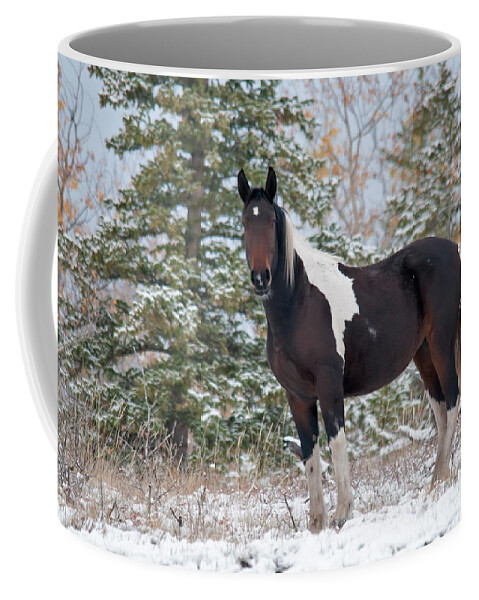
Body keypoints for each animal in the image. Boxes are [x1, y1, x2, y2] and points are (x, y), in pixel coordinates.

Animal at [239, 166, 462, 532]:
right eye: (245, 222)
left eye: (271, 221)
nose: (261, 278)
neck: (300, 302)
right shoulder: (297, 396)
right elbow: (309, 453)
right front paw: (316, 522)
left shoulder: (329, 385)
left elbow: (337, 441)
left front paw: (343, 512)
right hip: (425, 354)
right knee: (441, 410)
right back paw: (438, 480)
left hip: (443, 344)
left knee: (454, 401)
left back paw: (440, 479)